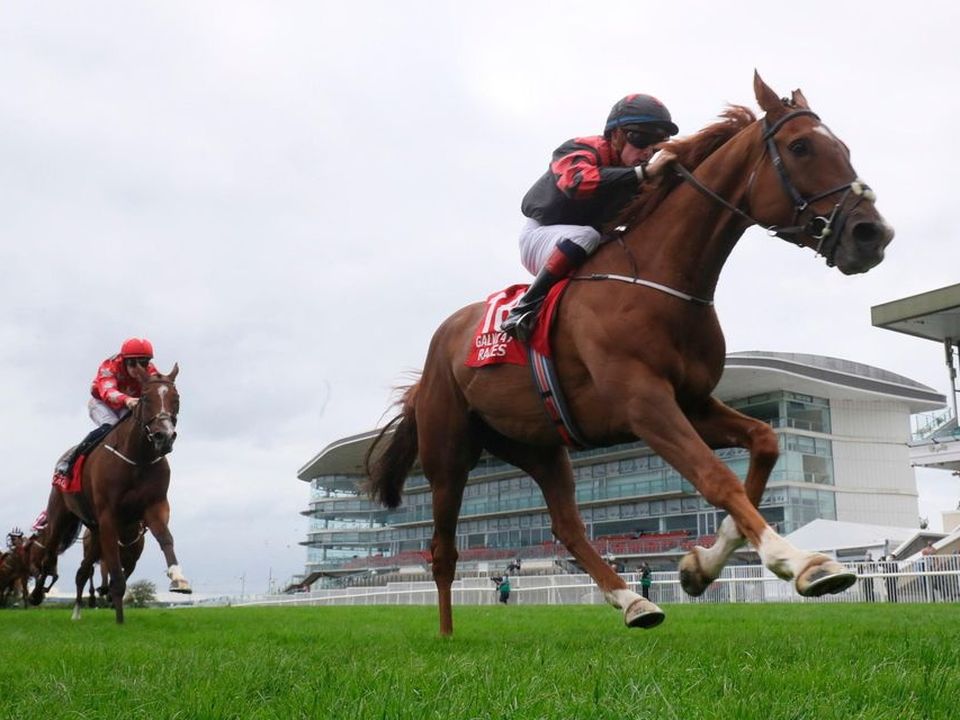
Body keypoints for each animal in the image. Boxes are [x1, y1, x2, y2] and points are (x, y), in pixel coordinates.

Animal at [31, 362, 191, 620]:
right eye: (145, 397)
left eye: (176, 399)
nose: (164, 436)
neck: (138, 458)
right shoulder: (108, 515)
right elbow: (116, 575)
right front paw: (119, 619)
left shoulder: (154, 506)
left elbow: (165, 537)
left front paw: (178, 578)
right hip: (60, 515)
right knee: (50, 555)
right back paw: (37, 595)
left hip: (94, 531)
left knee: (82, 571)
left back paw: (76, 612)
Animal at [366, 73, 892, 636]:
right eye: (800, 147)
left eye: (844, 148)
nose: (872, 235)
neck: (661, 281)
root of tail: (435, 354)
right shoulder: (645, 405)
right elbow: (718, 477)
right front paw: (802, 562)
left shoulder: (692, 401)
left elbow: (765, 443)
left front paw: (702, 566)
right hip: (449, 453)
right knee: (443, 550)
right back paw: (446, 635)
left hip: (539, 446)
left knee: (567, 526)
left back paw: (634, 601)